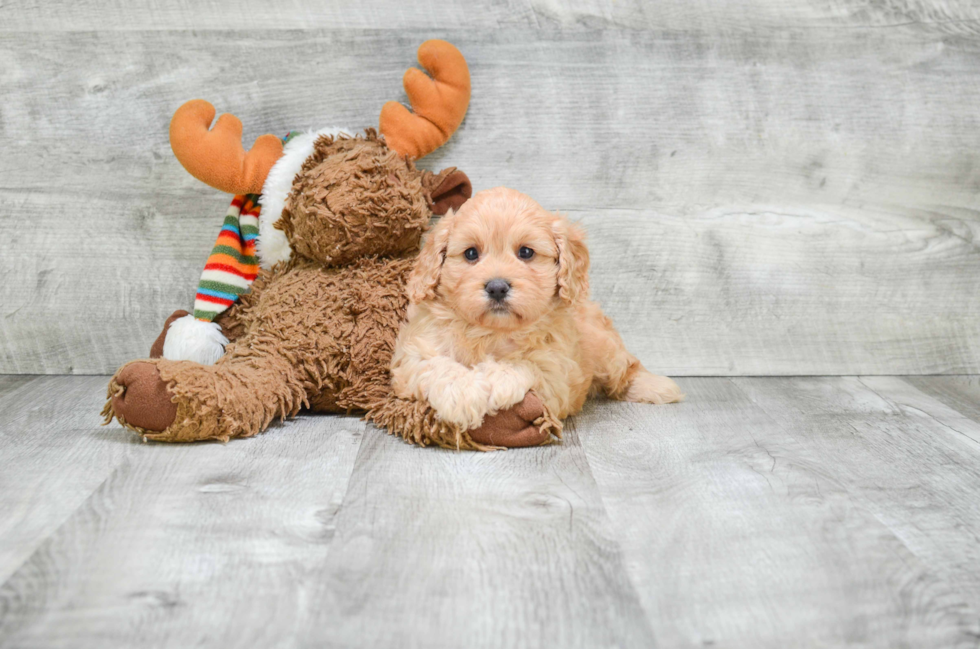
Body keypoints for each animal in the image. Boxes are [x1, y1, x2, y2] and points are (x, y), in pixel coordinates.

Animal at [390, 185, 680, 432]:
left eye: (526, 252)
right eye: (471, 254)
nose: (497, 287)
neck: (491, 331)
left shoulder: (558, 375)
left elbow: (525, 364)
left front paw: (494, 378)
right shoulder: (411, 355)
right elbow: (436, 365)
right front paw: (462, 396)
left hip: (604, 346)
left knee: (626, 369)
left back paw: (657, 386)